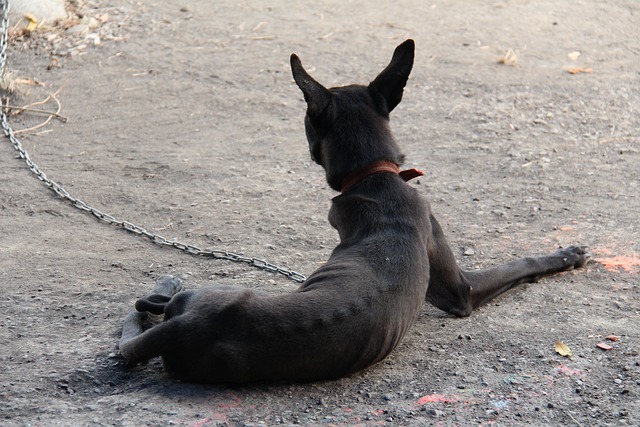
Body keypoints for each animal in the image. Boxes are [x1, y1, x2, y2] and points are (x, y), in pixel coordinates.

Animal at [117, 40, 588, 384]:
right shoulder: (461, 291)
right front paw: (565, 255)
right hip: (209, 292)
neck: (373, 176)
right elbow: (518, 263)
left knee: (146, 307)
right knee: (145, 306)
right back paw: (168, 281)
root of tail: (188, 328)